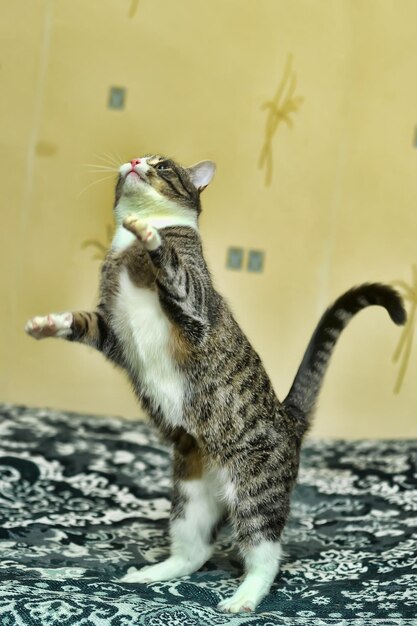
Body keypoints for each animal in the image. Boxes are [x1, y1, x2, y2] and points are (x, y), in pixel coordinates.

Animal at [24, 152, 404, 608]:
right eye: (142, 158)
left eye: (163, 166)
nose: (134, 161)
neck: (127, 253)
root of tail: (289, 418)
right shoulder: (111, 331)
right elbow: (83, 322)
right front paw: (48, 324)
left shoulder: (195, 302)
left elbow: (173, 265)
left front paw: (150, 234)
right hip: (190, 495)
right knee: (195, 550)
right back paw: (152, 573)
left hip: (257, 492)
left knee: (265, 553)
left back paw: (244, 597)